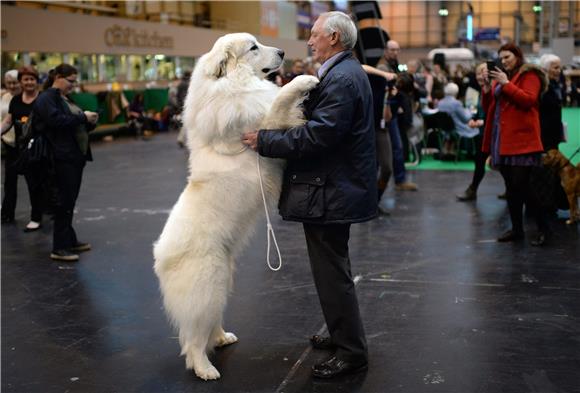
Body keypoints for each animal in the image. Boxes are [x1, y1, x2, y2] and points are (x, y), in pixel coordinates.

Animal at [153, 33, 318, 380]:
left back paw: (222, 338)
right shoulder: (263, 126)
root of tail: (160, 257)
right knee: (193, 339)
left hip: (222, 282)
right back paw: (205, 369)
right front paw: (305, 80)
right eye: (253, 47)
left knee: (208, 324)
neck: (231, 84)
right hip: (207, 287)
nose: (283, 51)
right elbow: (279, 100)